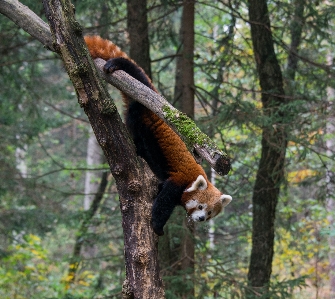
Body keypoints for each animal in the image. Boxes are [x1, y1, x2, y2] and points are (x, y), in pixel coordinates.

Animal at [84, 35, 232, 237]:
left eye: (209, 212)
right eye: (201, 206)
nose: (201, 218)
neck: (192, 181)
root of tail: (151, 94)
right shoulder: (178, 181)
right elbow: (163, 203)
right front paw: (157, 226)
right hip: (140, 117)